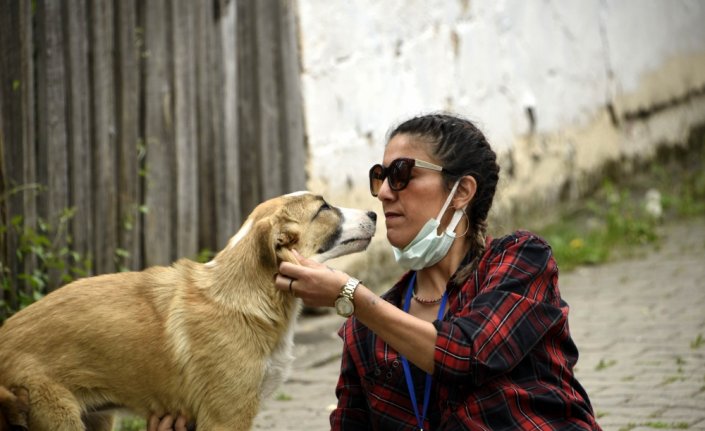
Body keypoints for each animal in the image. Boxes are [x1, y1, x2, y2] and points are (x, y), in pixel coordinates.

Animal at [0, 194, 376, 430]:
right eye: (323, 207)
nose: (374, 214)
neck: (249, 294)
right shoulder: (225, 418)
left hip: (97, 419)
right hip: (59, 418)